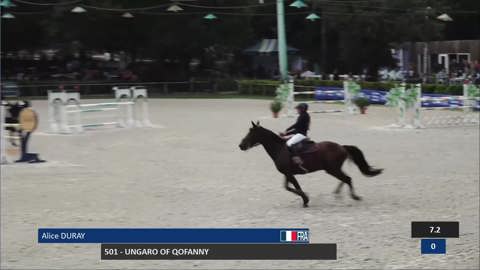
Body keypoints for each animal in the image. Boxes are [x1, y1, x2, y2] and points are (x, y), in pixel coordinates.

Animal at [239, 121, 382, 208]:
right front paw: (305, 199)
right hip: (333, 169)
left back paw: (354, 197)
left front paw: (306, 199)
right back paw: (338, 194)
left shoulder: (289, 173)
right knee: (345, 179)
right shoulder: (288, 173)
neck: (280, 149)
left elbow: (295, 187)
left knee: (347, 179)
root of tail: (342, 147)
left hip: (332, 169)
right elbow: (288, 187)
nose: (241, 145)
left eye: (251, 133)